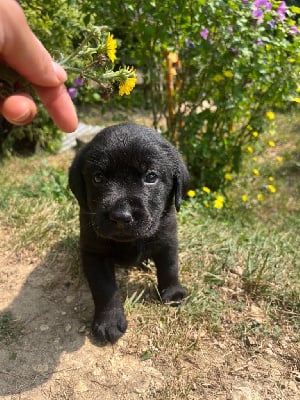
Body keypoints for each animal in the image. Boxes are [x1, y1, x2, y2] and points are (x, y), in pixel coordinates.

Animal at [69, 122, 189, 344]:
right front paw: (108, 321)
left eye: (151, 177)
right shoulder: (94, 253)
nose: (121, 216)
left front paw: (173, 293)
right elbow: (104, 288)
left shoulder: (167, 240)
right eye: (98, 178)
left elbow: (169, 268)